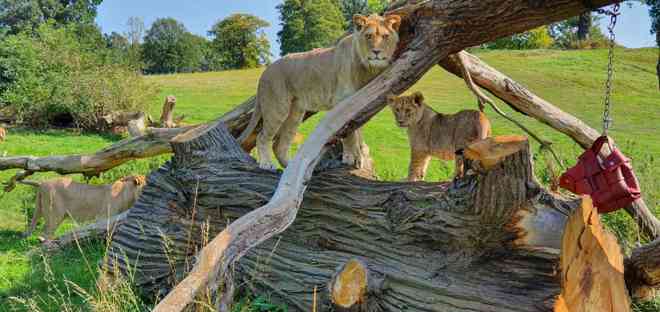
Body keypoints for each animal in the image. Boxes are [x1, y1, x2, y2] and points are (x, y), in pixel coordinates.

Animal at [240, 13, 400, 169]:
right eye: (369, 36)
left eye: (385, 36)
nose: (376, 52)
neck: (368, 68)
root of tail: (264, 72)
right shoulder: (342, 101)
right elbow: (349, 133)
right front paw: (350, 157)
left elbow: (358, 131)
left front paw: (361, 153)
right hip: (277, 108)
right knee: (262, 137)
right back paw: (266, 164)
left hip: (295, 113)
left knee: (279, 145)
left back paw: (291, 166)